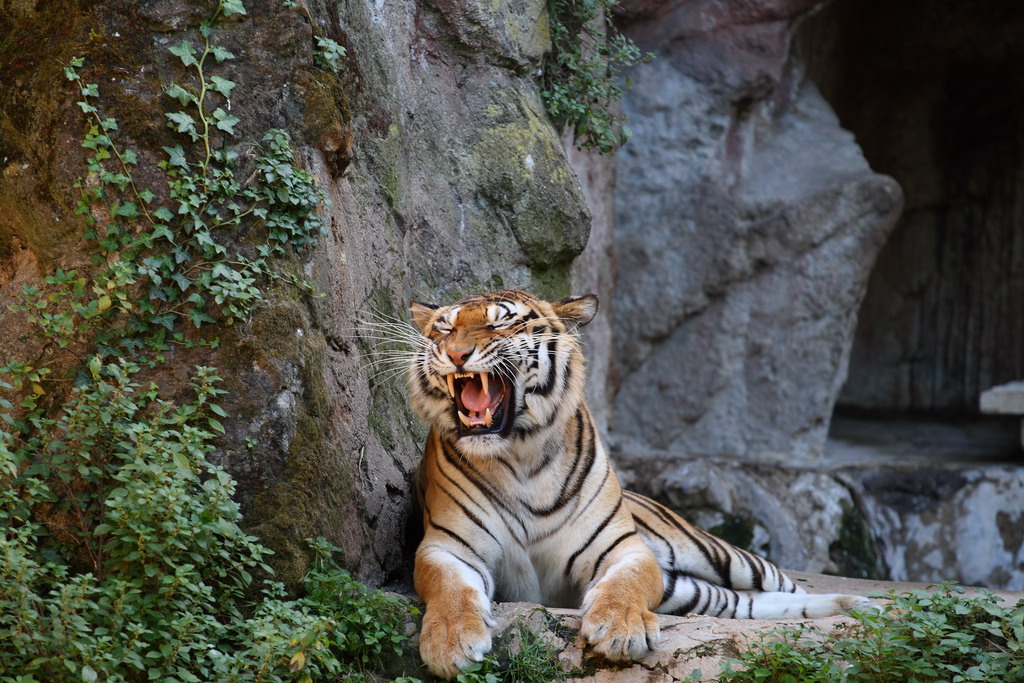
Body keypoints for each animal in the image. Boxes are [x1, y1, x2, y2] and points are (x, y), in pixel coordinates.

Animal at [405, 289, 874, 679]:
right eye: (444, 328)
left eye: (500, 324)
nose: (456, 354)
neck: (519, 455)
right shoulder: (448, 546)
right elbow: (450, 589)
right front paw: (451, 643)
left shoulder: (623, 547)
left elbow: (624, 585)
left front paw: (620, 630)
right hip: (690, 593)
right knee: (750, 604)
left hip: (723, 555)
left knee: (784, 585)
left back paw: (864, 607)